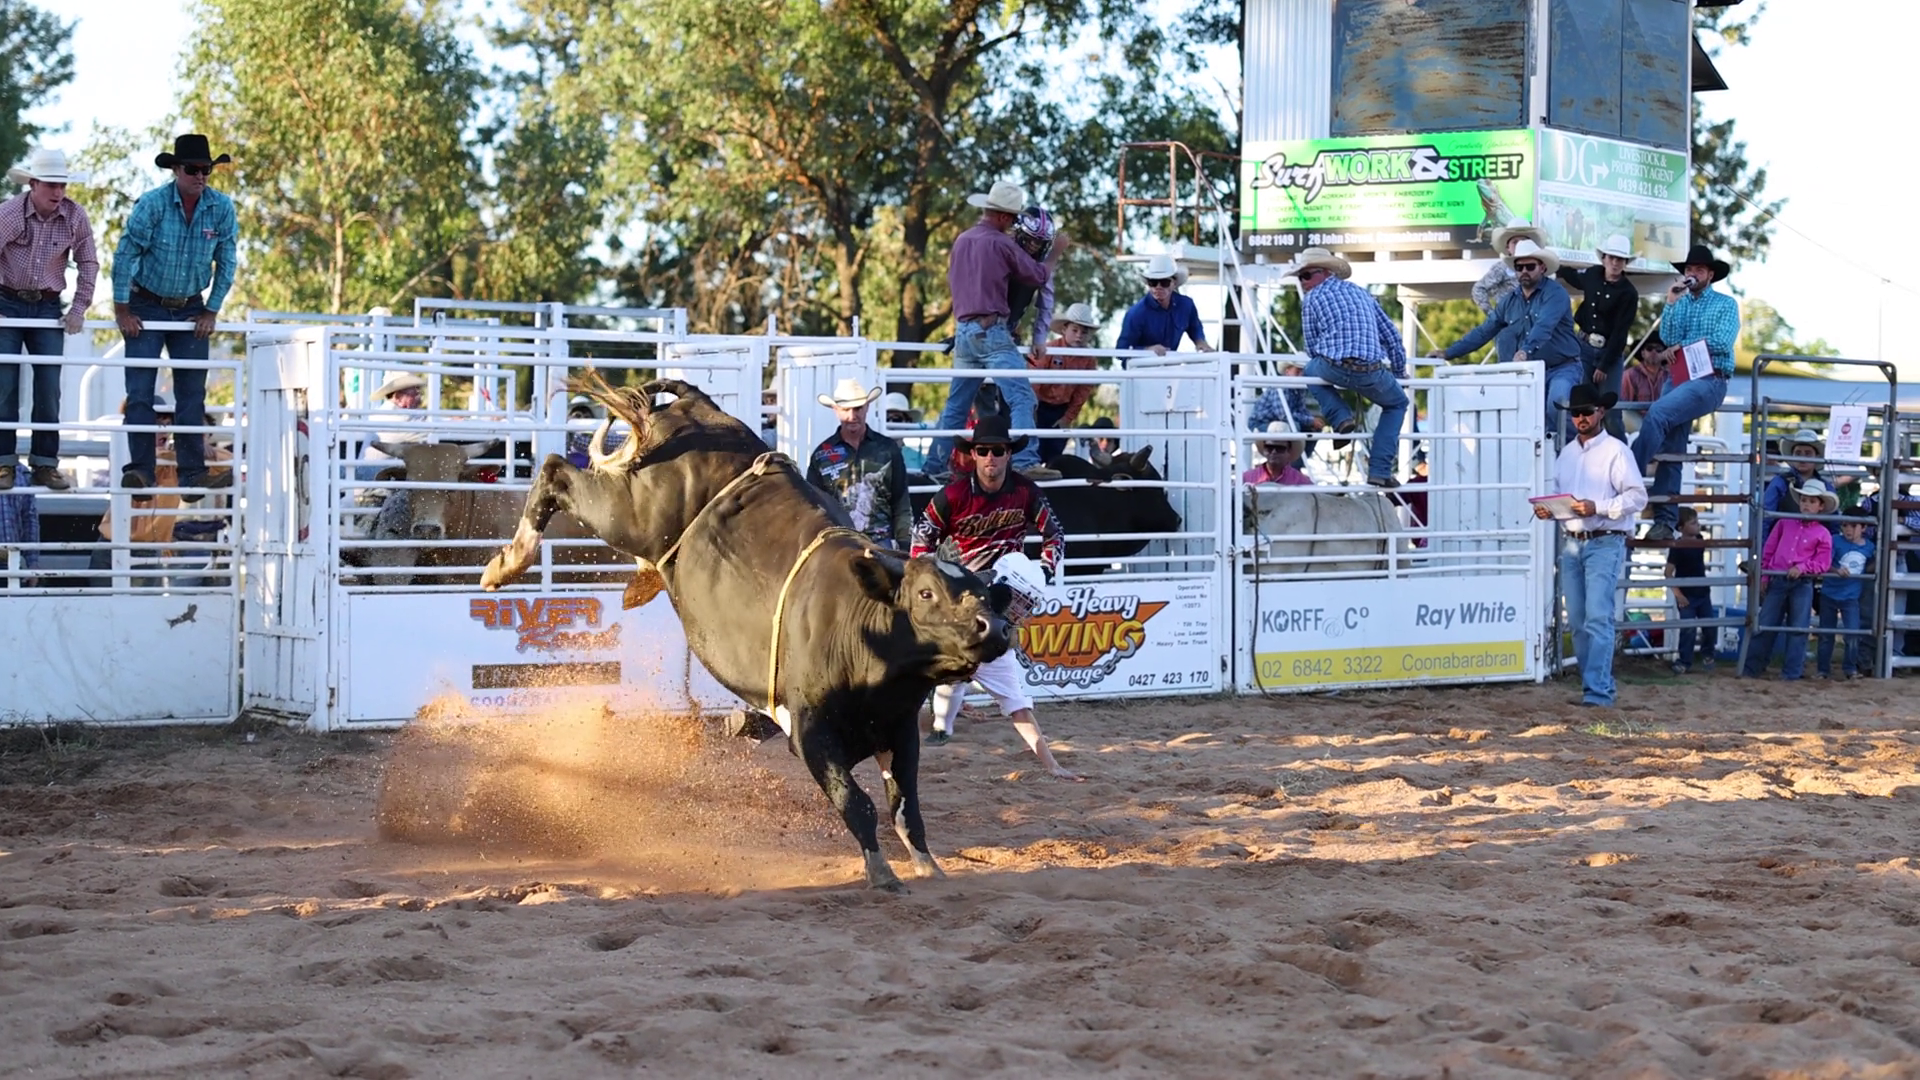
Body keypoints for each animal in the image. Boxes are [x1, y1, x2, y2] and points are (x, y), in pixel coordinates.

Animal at [479, 377, 1014, 892]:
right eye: (925, 593)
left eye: (984, 593)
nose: (994, 627)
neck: (864, 628)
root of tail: (696, 408)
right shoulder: (811, 734)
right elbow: (856, 802)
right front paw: (881, 874)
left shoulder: (899, 729)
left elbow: (906, 807)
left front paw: (928, 867)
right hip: (627, 512)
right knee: (556, 470)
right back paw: (508, 562)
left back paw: (633, 583)